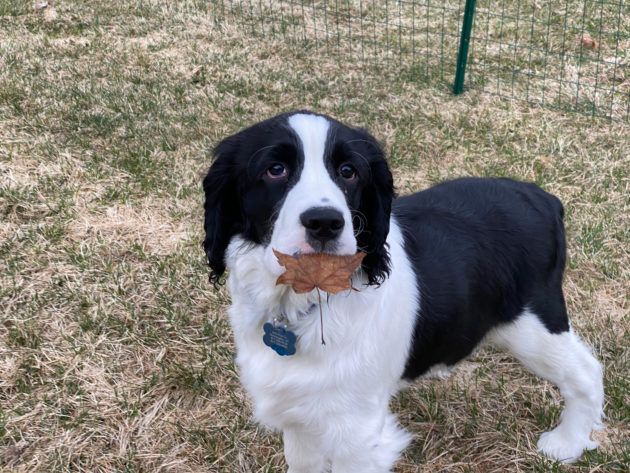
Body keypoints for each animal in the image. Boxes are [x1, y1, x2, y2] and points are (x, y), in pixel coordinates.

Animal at [205, 111, 604, 472]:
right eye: (275, 169)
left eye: (349, 171)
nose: (325, 223)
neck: (307, 301)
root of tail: (545, 198)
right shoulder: (300, 414)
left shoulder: (358, 433)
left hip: (533, 323)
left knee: (586, 370)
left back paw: (567, 443)